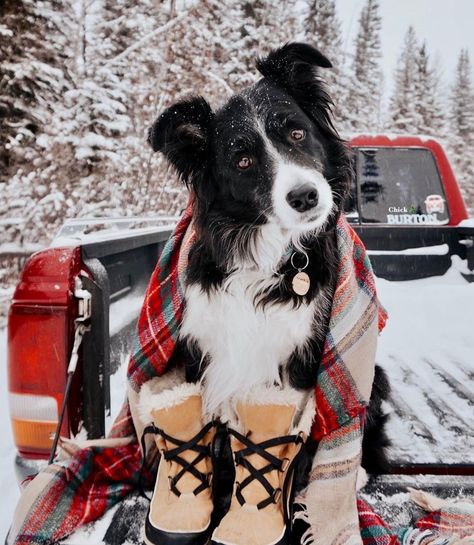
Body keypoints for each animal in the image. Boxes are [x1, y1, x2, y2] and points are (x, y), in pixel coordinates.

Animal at [148, 42, 388, 470]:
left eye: (297, 132)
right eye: (243, 161)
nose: (305, 196)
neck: (269, 253)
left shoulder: (299, 359)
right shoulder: (206, 350)